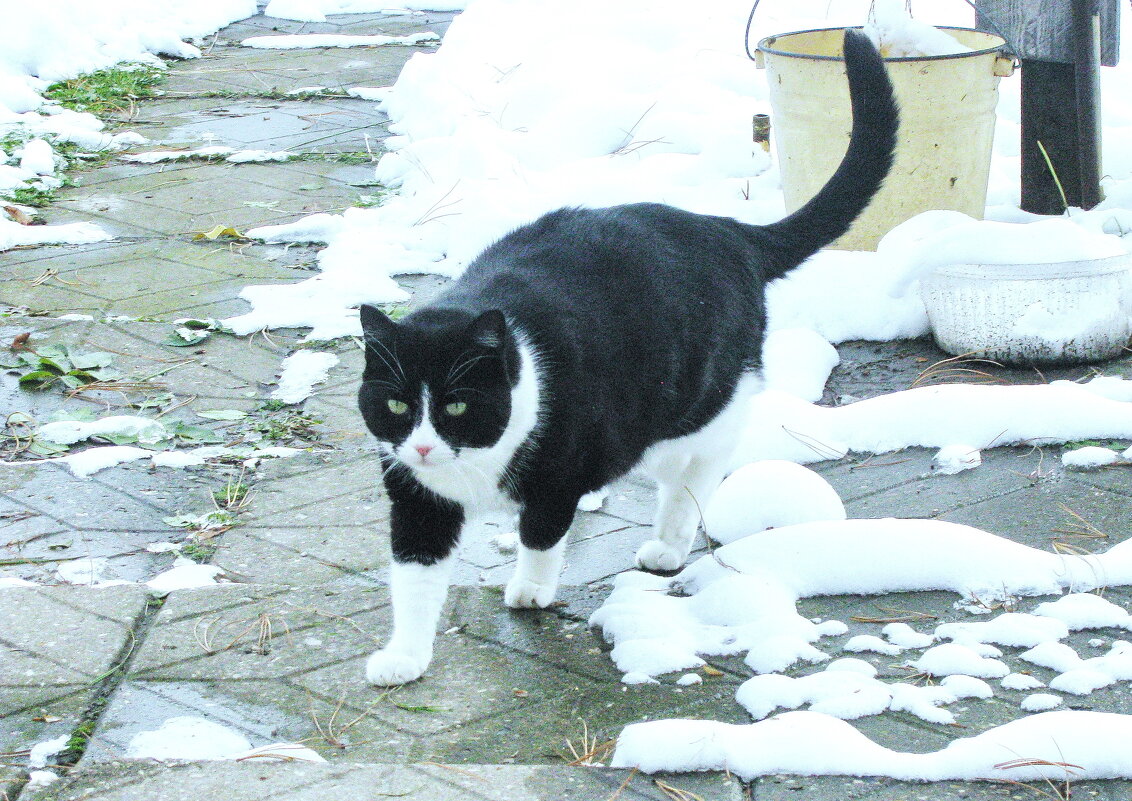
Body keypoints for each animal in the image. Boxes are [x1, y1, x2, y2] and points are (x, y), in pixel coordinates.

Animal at [357, 28, 896, 683]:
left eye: (457, 406)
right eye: (396, 405)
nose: (423, 446)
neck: (473, 467)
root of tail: (730, 231)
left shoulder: (559, 470)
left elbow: (541, 532)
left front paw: (531, 591)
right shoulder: (416, 498)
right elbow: (413, 580)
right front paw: (404, 657)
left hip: (695, 410)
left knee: (697, 472)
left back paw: (668, 543)